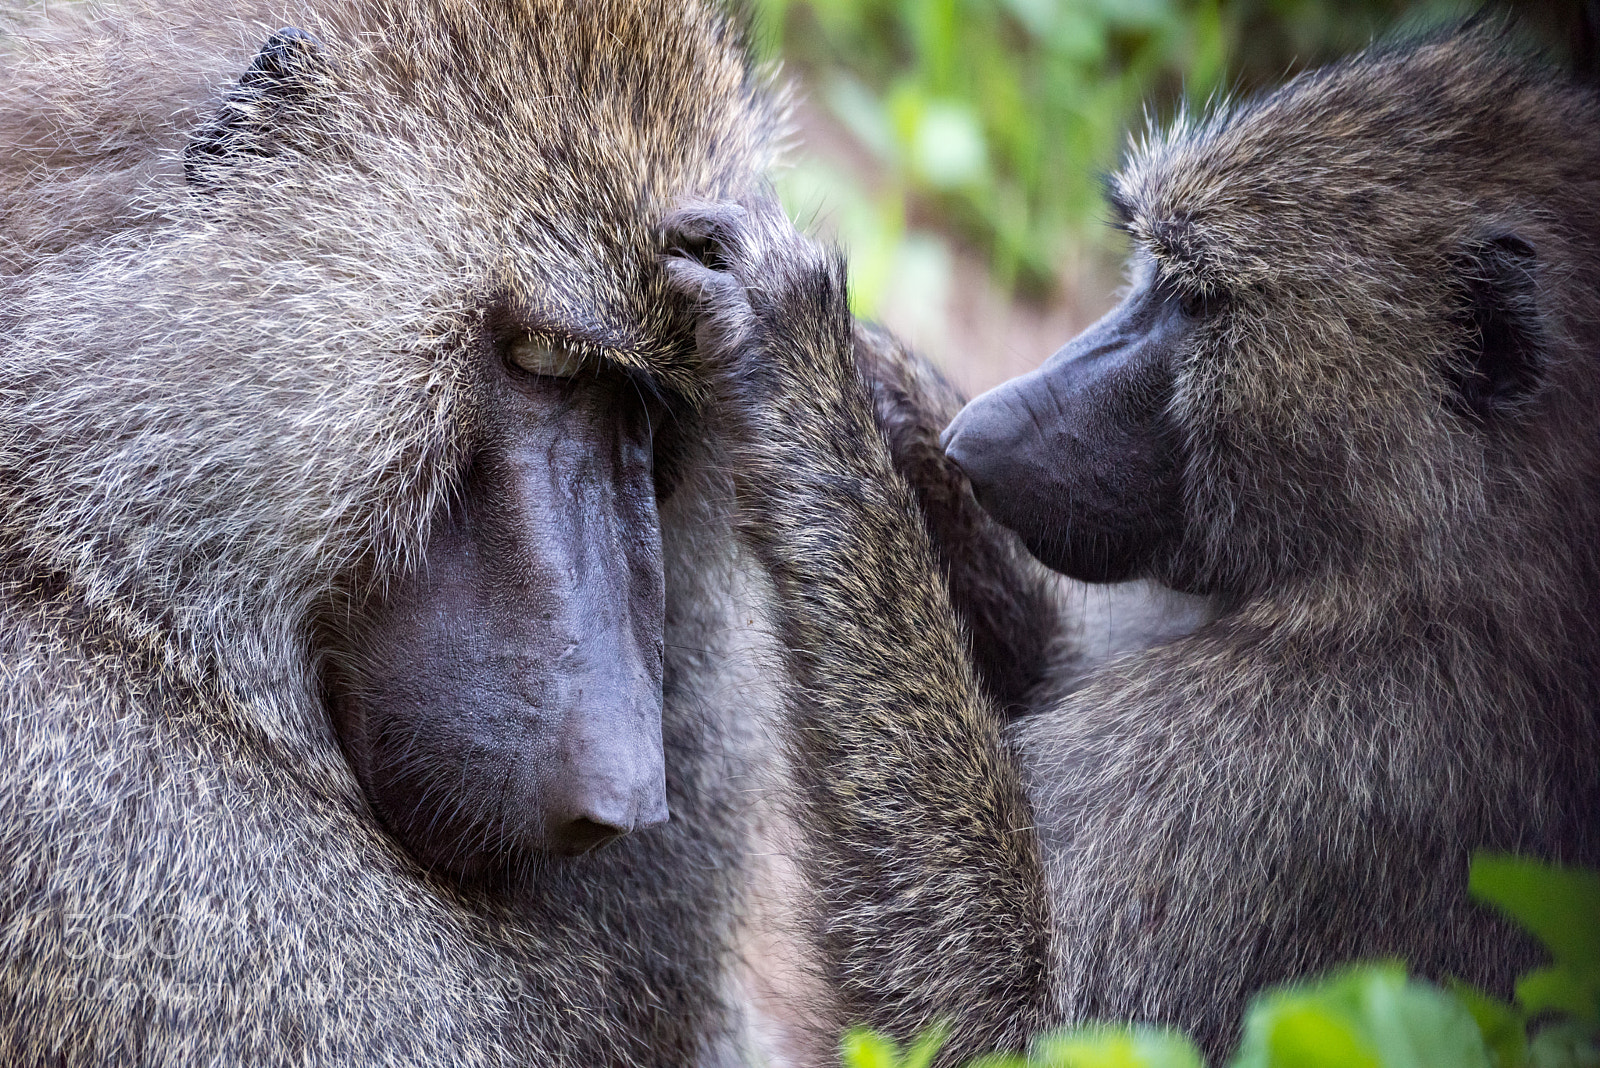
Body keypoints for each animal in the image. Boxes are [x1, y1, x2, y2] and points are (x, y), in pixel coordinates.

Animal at [663, 24, 1600, 1064]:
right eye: (1151, 273)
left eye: (1196, 299)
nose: (979, 436)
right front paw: (880, 387)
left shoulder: (1331, 758)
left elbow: (1009, 1026)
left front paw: (796, 361)